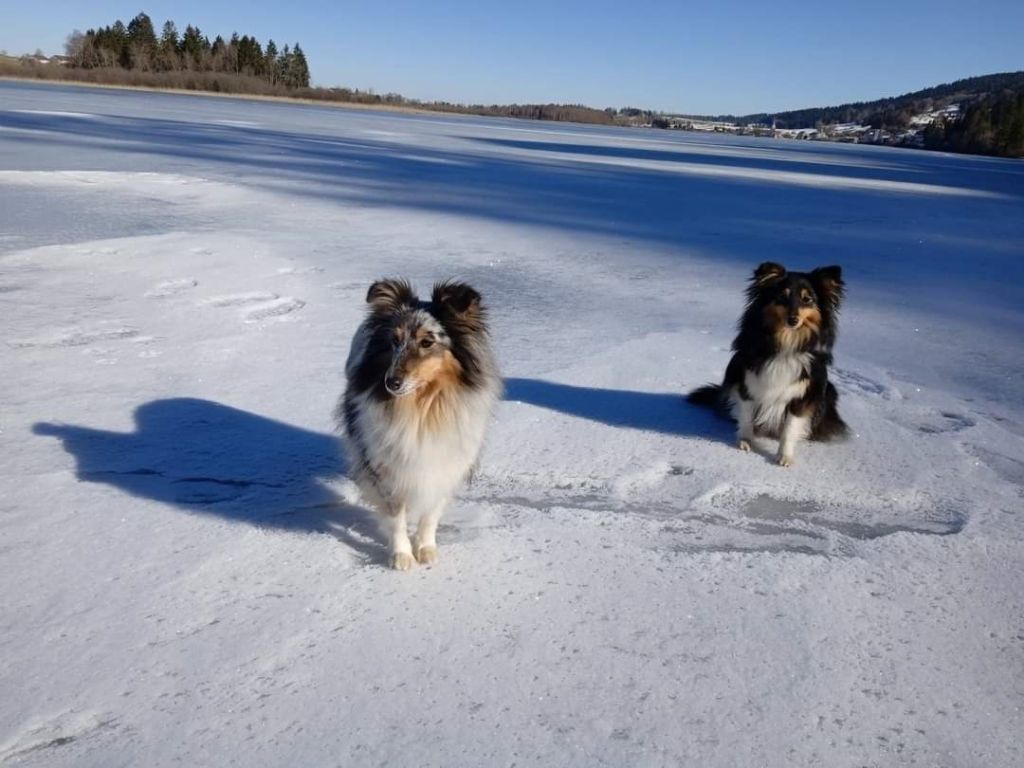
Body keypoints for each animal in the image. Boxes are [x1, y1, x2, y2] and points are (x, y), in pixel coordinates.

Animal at [337, 280, 501, 569]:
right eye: (394, 341)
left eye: (427, 342)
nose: (391, 383)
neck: (423, 408)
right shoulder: (387, 469)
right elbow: (396, 516)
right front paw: (401, 557)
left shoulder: (445, 464)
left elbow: (431, 512)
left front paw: (425, 549)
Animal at [688, 264, 847, 468]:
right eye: (782, 296)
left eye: (807, 299)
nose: (793, 320)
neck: (786, 341)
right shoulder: (746, 382)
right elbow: (747, 415)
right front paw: (745, 442)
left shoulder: (802, 394)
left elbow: (790, 427)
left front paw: (784, 457)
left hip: (828, 391)